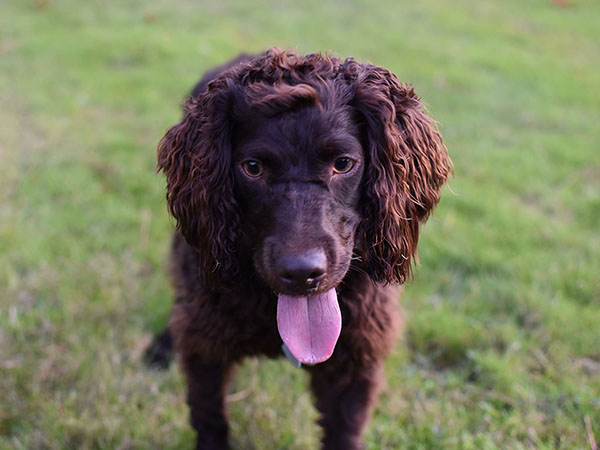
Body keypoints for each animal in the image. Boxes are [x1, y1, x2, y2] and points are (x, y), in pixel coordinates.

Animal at [149, 47, 450, 448]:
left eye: (343, 164)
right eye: (252, 168)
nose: (302, 273)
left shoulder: (356, 360)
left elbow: (344, 432)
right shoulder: (206, 349)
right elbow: (210, 419)